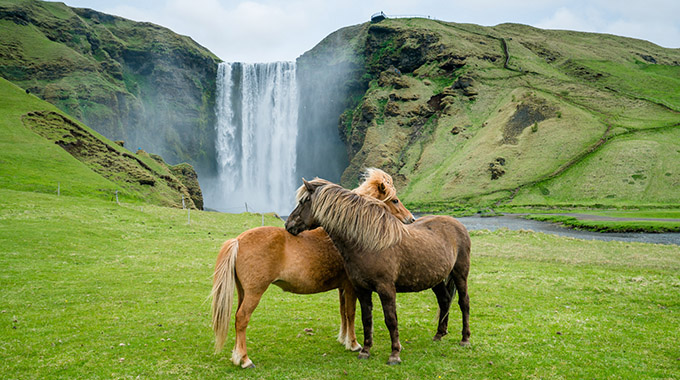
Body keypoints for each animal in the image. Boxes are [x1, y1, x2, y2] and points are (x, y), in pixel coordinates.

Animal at [212, 169, 414, 368]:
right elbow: (351, 313)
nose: (411, 219)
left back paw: (237, 356)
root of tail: (238, 240)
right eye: (395, 200)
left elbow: (343, 312)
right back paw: (245, 360)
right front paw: (353, 344)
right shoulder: (351, 286)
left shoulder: (341, 287)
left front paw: (343, 339)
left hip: (242, 292)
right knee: (242, 318)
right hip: (254, 293)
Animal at [284, 180, 470, 366]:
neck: (369, 244)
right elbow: (366, 319)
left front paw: (394, 354)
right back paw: (439, 334)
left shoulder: (386, 289)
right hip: (435, 279)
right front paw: (365, 351)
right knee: (444, 300)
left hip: (460, 274)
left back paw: (465, 339)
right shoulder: (361, 289)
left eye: (303, 201)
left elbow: (391, 320)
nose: (288, 225)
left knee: (464, 302)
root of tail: (457, 224)